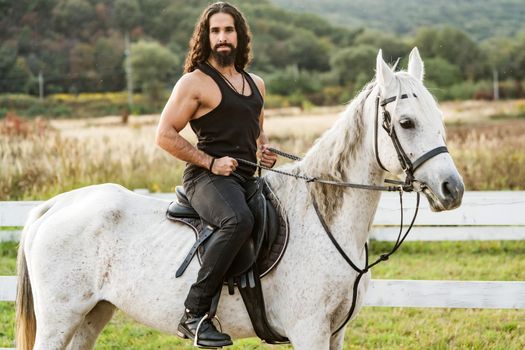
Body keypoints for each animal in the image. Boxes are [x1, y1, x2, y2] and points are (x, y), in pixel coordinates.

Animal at [15, 47, 462, 348]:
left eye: (438, 118)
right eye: (406, 122)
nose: (452, 189)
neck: (321, 219)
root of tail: (55, 205)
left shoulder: (336, 332)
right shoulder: (309, 330)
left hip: (93, 314)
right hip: (61, 319)